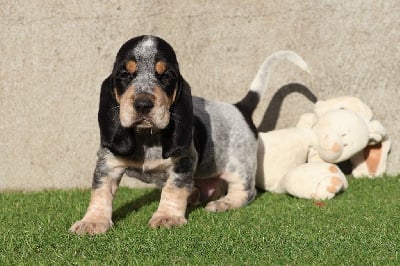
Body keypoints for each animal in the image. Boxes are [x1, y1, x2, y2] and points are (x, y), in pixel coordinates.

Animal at [69, 35, 310, 235]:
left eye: (166, 76)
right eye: (125, 74)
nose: (143, 104)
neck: (147, 137)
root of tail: (239, 108)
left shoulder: (183, 163)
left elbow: (173, 189)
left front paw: (167, 217)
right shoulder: (107, 165)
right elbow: (100, 192)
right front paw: (93, 221)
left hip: (239, 168)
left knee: (245, 192)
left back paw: (223, 203)